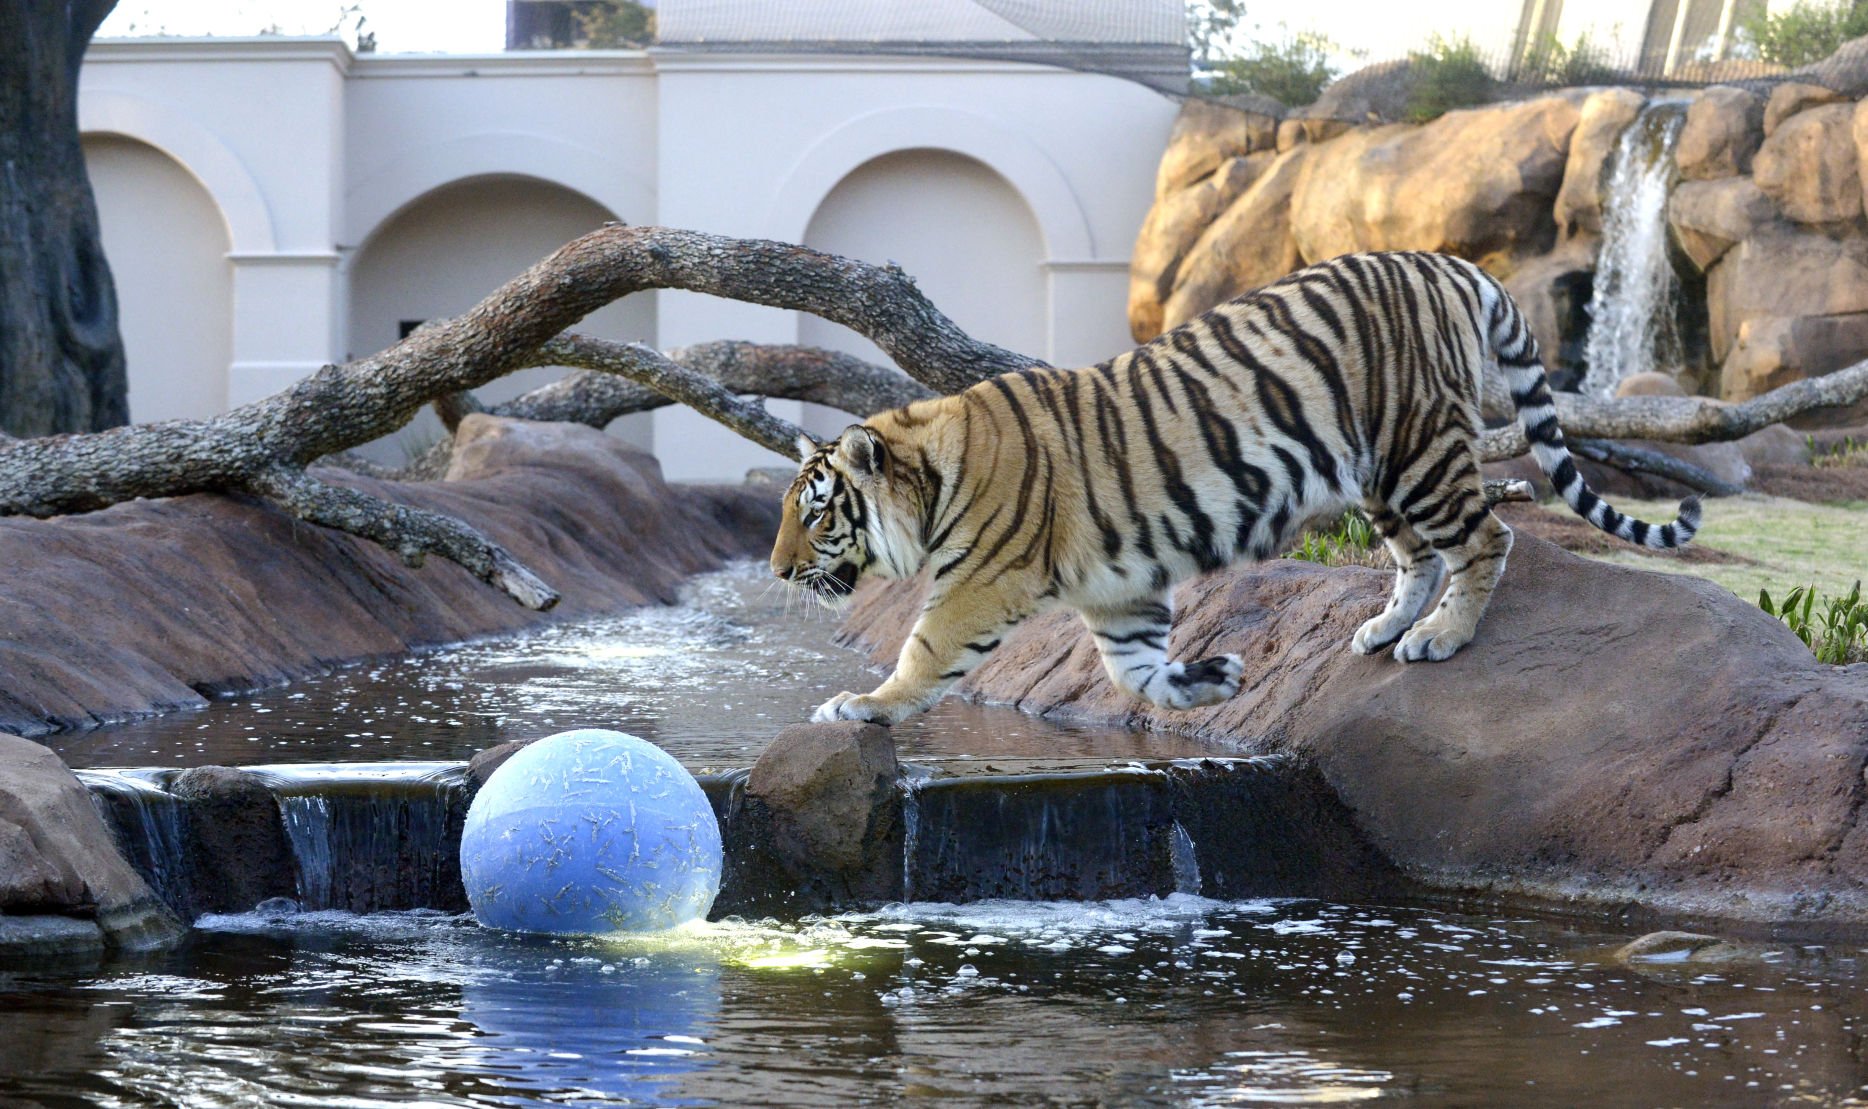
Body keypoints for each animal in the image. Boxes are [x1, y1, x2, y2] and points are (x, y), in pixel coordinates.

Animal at [765, 248, 1703, 724]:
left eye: (815, 512)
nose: (775, 571)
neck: (932, 469)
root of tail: (1452, 263)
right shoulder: (1121, 591)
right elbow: (1131, 673)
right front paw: (1209, 681)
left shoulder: (980, 584)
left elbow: (924, 649)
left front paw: (859, 703)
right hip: (1378, 468)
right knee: (1420, 556)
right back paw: (1384, 629)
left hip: (1420, 448)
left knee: (1486, 537)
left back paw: (1442, 636)